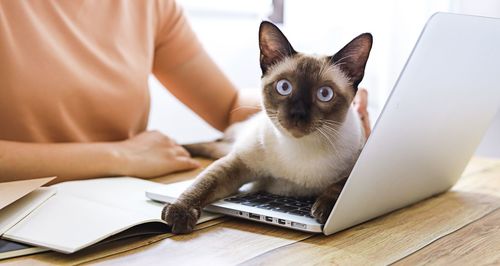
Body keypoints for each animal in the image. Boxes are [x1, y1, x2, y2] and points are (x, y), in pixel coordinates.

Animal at [162, 21, 374, 233]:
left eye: (324, 94)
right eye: (284, 87)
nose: (298, 114)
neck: (299, 150)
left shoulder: (357, 161)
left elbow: (343, 185)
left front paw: (325, 209)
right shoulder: (239, 163)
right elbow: (204, 183)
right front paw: (179, 214)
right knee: (210, 145)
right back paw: (180, 150)